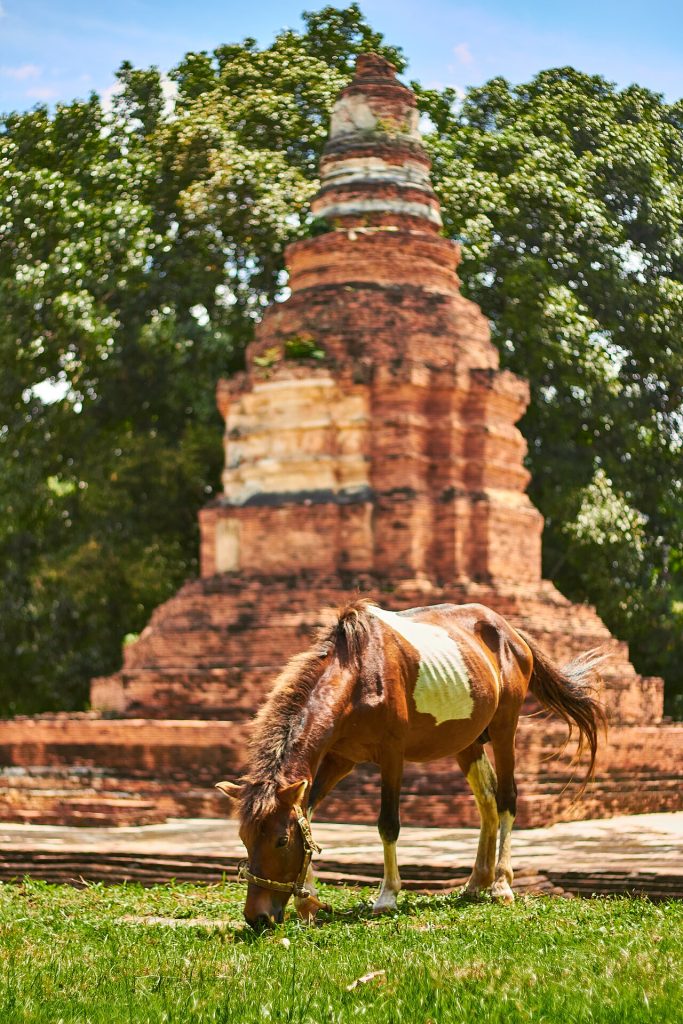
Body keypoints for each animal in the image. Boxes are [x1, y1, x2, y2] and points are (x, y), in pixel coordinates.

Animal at [217, 599, 606, 930]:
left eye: (281, 841)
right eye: (244, 838)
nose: (257, 917)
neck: (357, 671)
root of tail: (511, 632)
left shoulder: (392, 754)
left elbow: (388, 824)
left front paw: (387, 896)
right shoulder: (339, 759)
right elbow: (308, 819)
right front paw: (308, 902)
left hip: (504, 727)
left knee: (507, 798)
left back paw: (500, 884)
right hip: (467, 742)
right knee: (487, 801)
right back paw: (475, 882)